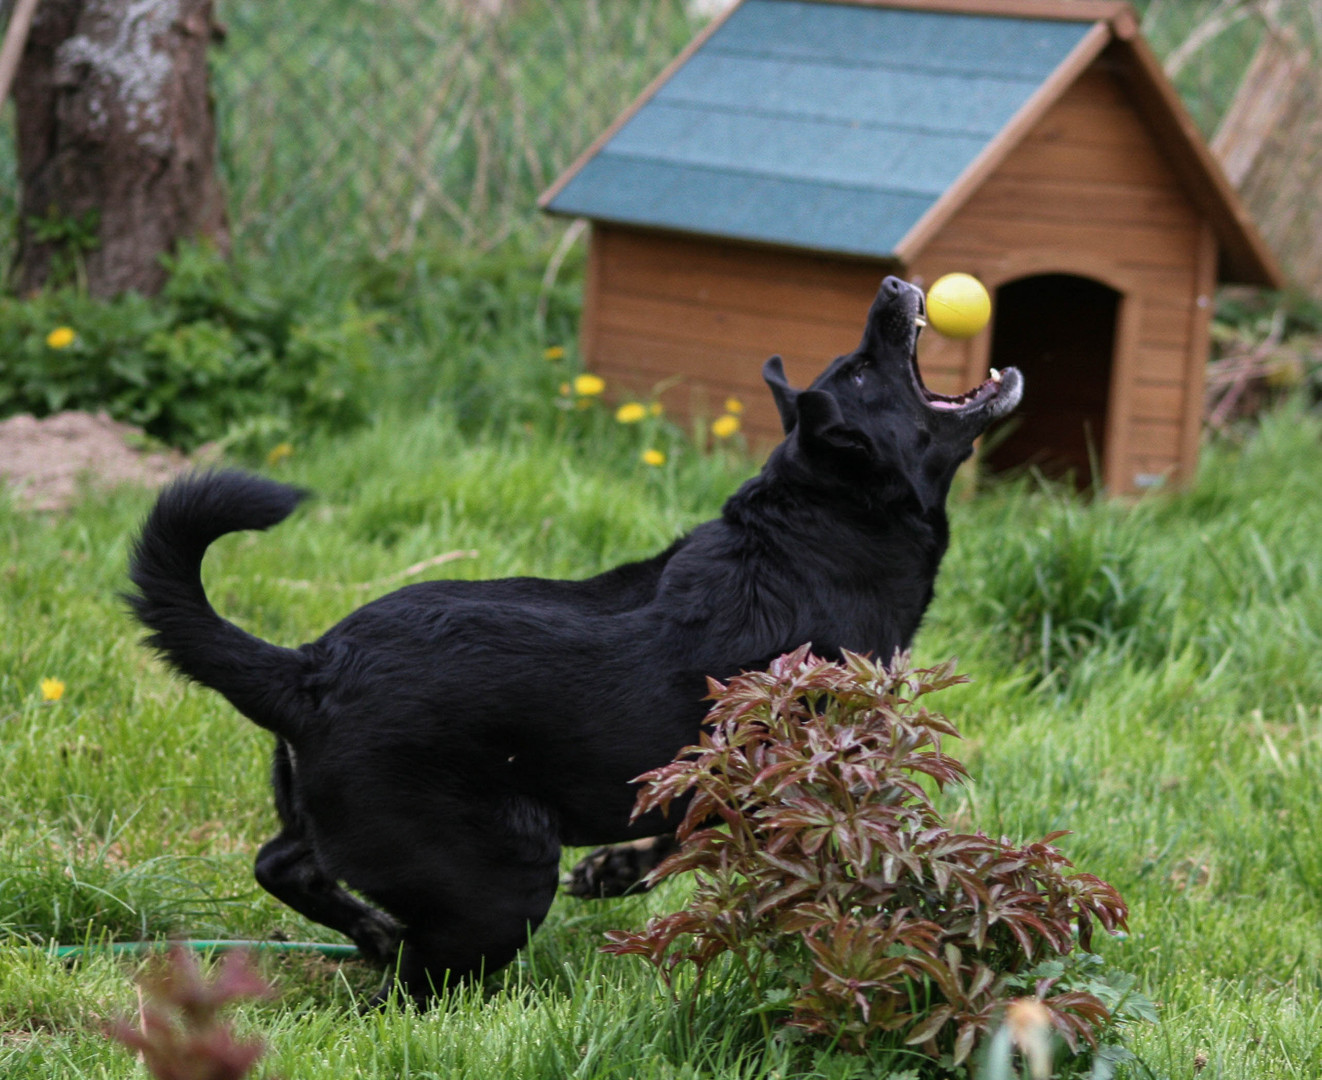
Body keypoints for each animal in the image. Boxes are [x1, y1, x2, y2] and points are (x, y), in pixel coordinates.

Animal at [128, 276, 1020, 1004]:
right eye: (865, 373)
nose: (894, 285)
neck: (823, 526)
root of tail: (311, 669)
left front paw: (618, 868)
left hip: (341, 827)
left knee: (282, 864)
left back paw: (370, 931)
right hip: (500, 879)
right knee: (410, 985)